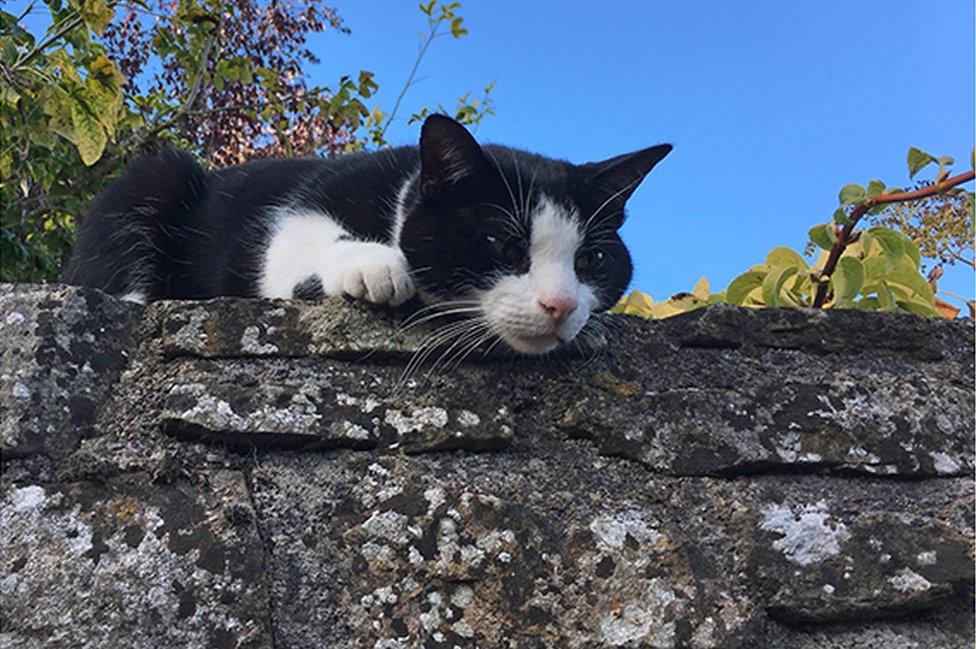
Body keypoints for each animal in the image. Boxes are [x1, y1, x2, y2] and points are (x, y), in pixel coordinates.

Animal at [63, 115, 672, 354]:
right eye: (504, 245)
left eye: (591, 260)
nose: (561, 304)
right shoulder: (284, 218)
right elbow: (284, 245)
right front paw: (378, 266)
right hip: (154, 176)